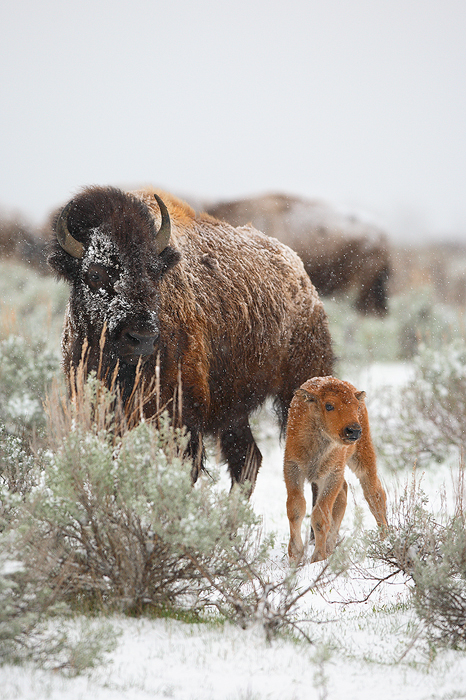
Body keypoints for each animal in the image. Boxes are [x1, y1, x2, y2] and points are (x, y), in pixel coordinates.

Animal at [48, 186, 334, 490]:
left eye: (154, 271)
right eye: (94, 273)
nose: (142, 337)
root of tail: (301, 274)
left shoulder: (183, 417)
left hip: (301, 386)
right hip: (233, 409)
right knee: (247, 458)